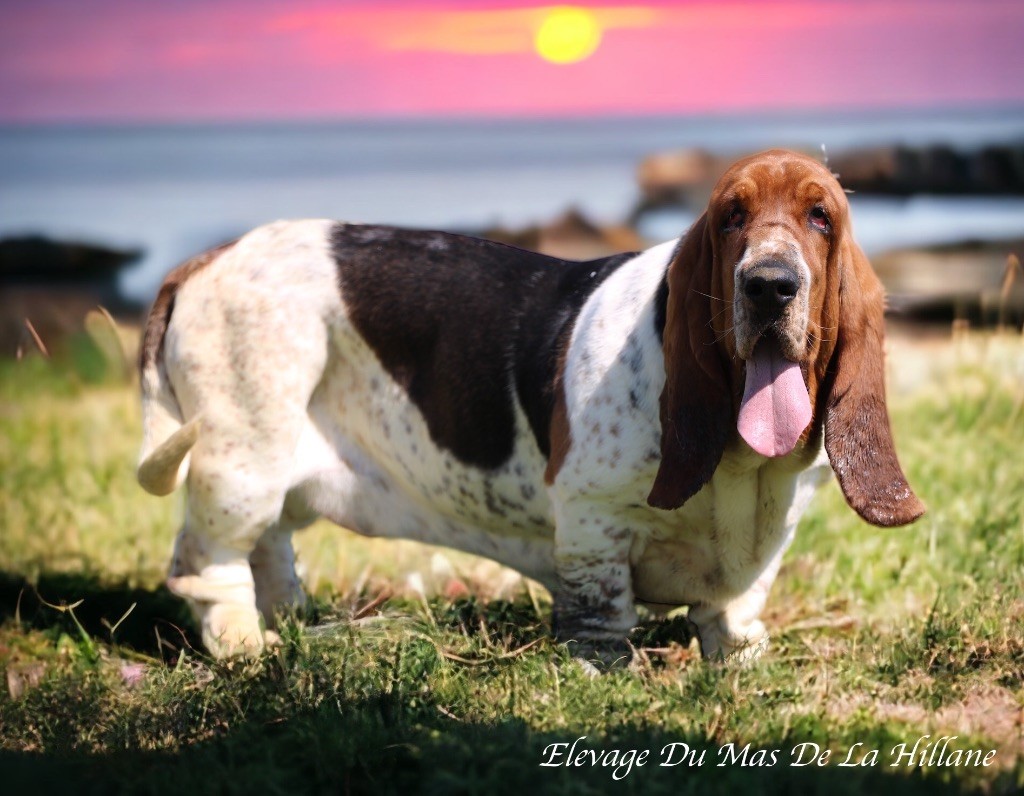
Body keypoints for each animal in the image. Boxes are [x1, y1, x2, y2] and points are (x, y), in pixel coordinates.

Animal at [138, 147, 929, 659]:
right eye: (731, 216)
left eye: (821, 217)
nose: (770, 285)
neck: (739, 466)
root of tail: (207, 259)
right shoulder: (591, 520)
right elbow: (601, 607)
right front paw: (603, 666)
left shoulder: (769, 541)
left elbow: (738, 604)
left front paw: (739, 652)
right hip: (242, 461)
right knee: (207, 560)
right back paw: (245, 642)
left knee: (270, 544)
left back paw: (294, 614)